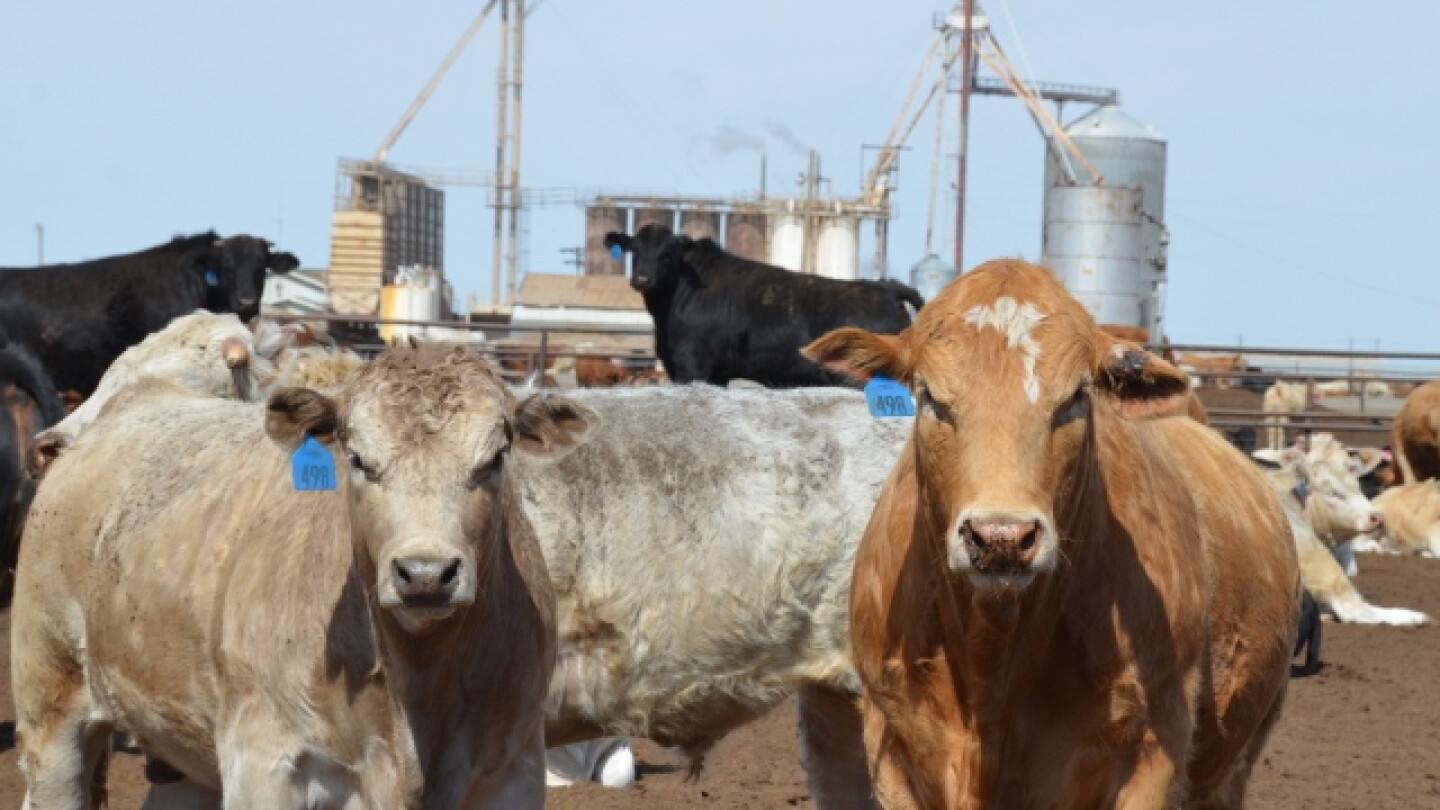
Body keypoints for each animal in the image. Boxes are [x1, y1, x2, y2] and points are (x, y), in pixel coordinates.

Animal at [11, 345, 591, 808]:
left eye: (494, 459)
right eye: (357, 458)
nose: (425, 574)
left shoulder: (512, 769)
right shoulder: (265, 764)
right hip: (50, 700)